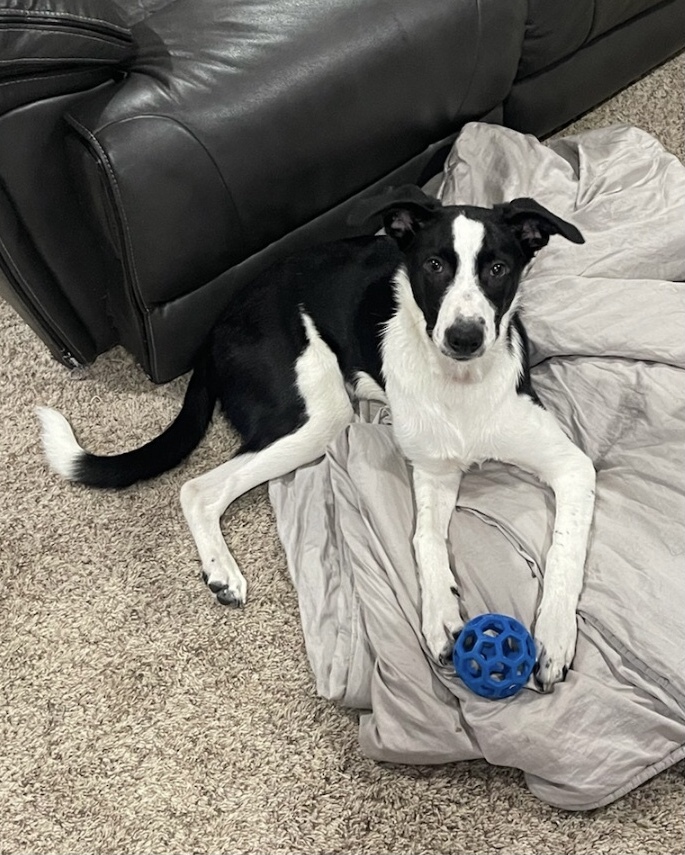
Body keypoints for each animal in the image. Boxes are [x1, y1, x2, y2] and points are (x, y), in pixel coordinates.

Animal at [37, 187, 592, 696]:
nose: (464, 337)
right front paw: (439, 614)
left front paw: (554, 636)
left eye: (498, 268)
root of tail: (214, 330)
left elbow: (565, 550)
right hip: (318, 413)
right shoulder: (433, 471)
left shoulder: (571, 466)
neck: (461, 386)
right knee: (198, 488)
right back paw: (222, 571)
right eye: (434, 265)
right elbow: (424, 540)